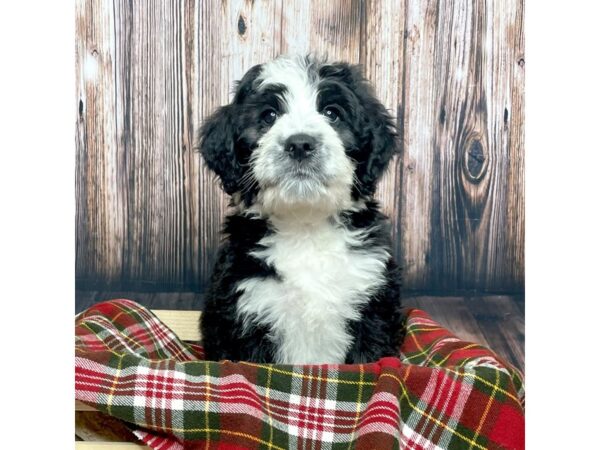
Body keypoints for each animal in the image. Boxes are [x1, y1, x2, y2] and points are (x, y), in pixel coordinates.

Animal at [199, 55, 406, 366]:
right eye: (269, 116)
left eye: (332, 113)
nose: (300, 144)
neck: (305, 226)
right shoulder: (247, 310)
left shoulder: (372, 307)